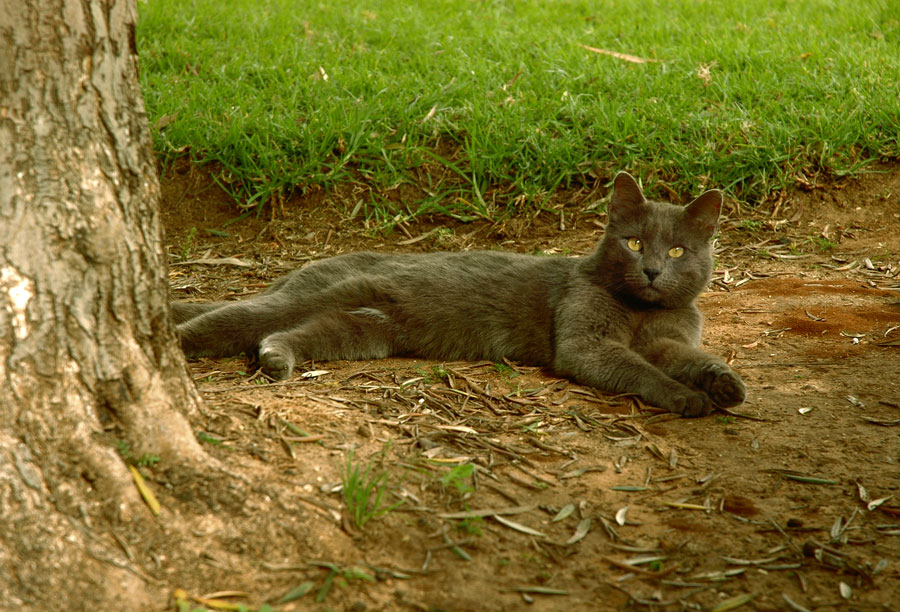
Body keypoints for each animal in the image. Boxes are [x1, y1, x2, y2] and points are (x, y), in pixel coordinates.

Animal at [174, 172, 744, 416]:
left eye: (677, 251)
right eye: (634, 243)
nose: (651, 270)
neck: (641, 313)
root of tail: (296, 272)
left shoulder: (671, 338)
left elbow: (691, 357)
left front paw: (725, 385)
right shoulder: (588, 343)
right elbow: (640, 369)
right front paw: (686, 398)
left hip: (361, 329)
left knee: (286, 334)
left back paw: (276, 359)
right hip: (311, 298)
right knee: (227, 320)